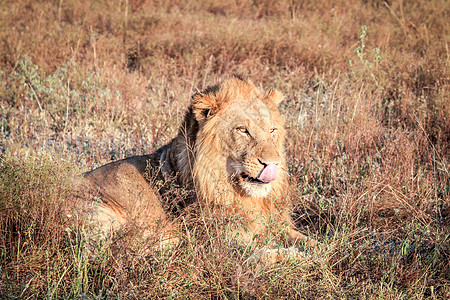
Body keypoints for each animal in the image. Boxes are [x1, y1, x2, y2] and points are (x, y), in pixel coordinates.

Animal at [81, 75, 318, 255]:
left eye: (272, 131)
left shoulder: (278, 226)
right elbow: (269, 255)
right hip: (99, 211)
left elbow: (312, 242)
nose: (273, 163)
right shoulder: (222, 242)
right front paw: (299, 258)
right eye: (243, 130)